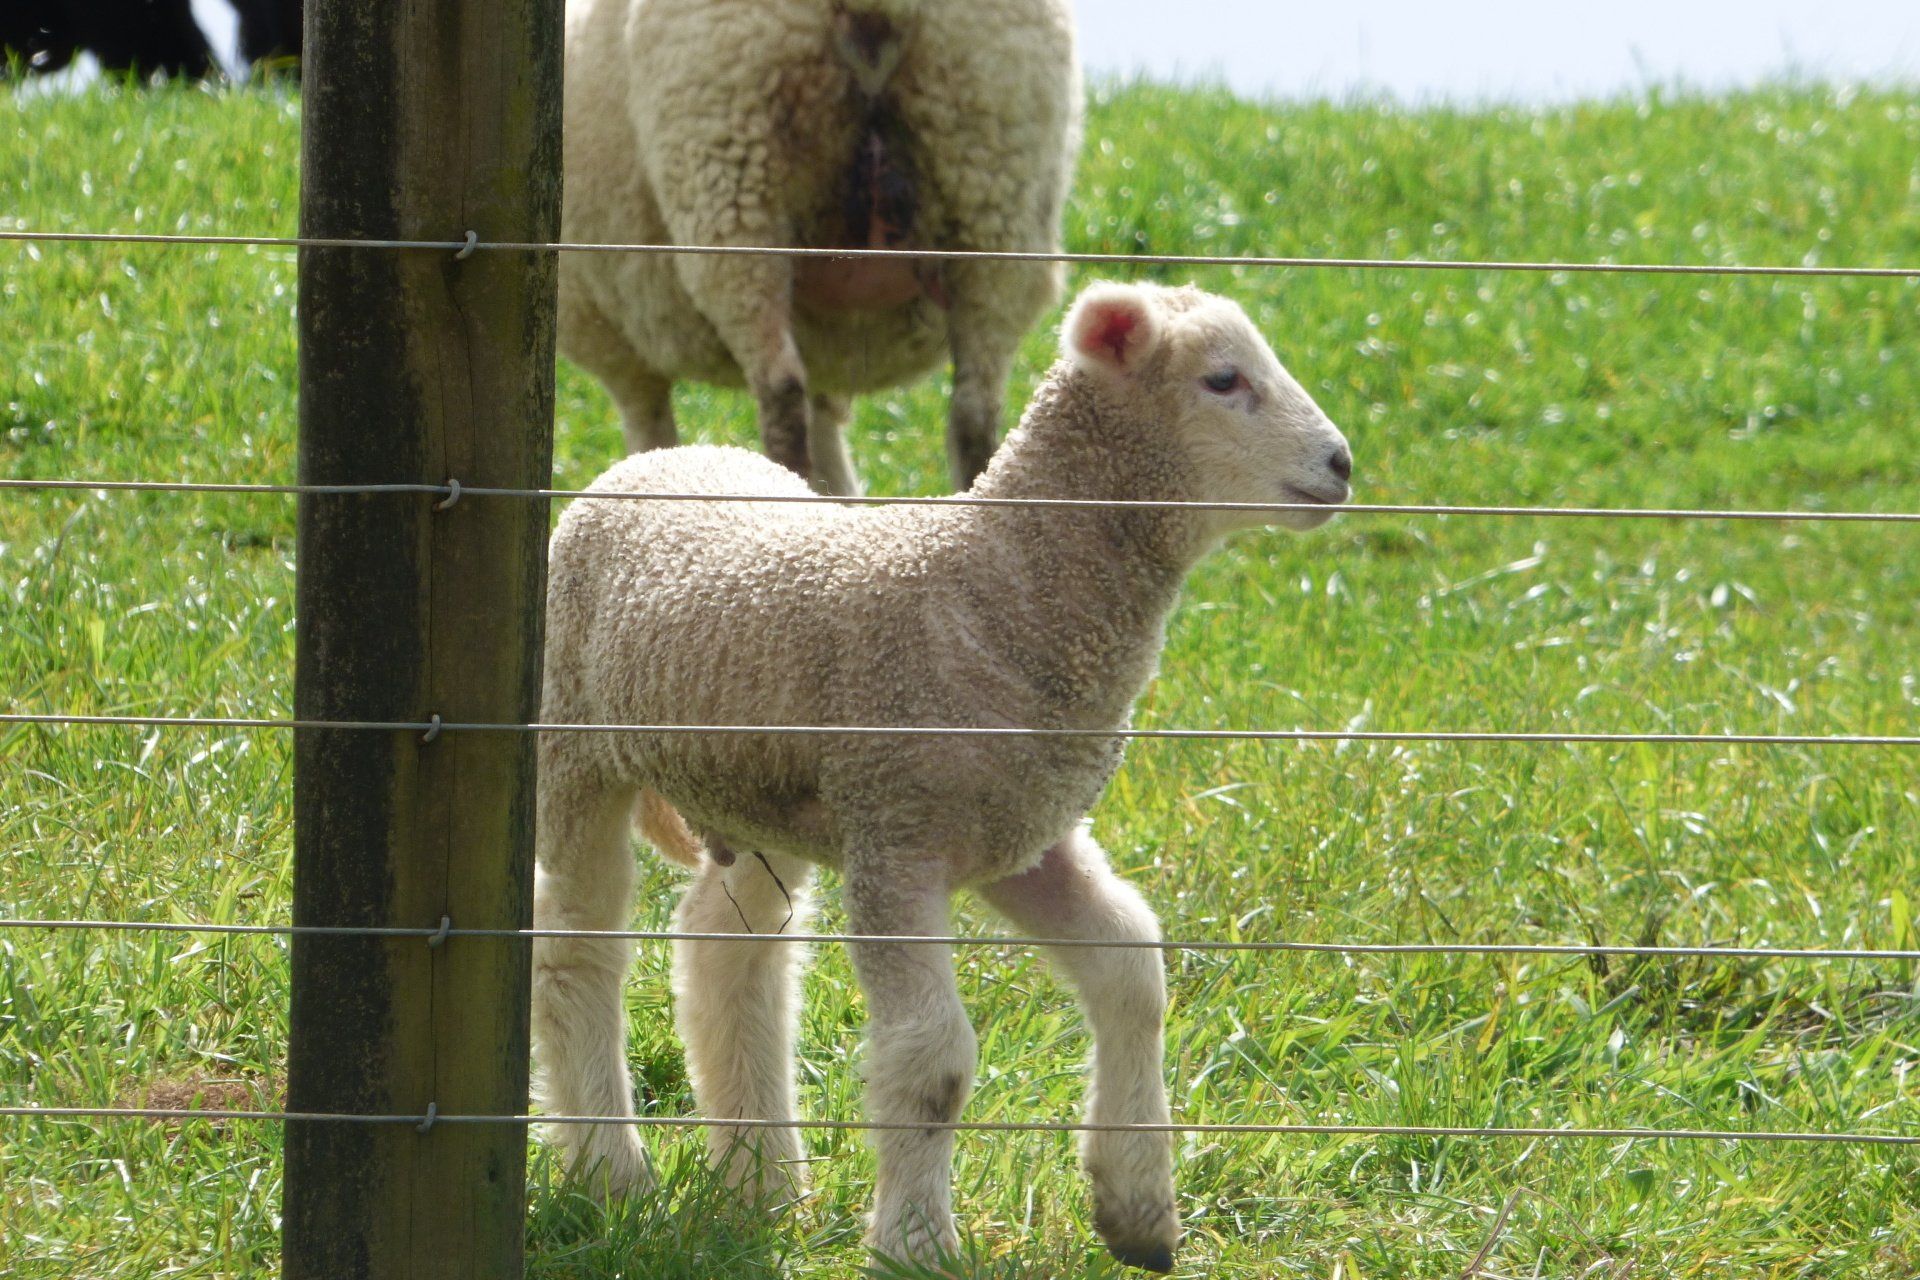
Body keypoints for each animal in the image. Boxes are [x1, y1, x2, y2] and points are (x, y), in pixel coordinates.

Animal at [531, 280, 1355, 1271]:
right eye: (1223, 380)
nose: (1343, 464)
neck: (998, 592)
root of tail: (659, 457)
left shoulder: (1021, 831)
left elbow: (1132, 971)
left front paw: (1138, 1208)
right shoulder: (901, 834)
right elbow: (933, 1060)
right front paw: (915, 1243)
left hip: (764, 792)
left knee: (728, 947)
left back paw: (760, 1183)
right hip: (576, 743)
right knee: (575, 950)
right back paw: (612, 1174)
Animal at [559, 0, 1082, 495]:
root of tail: (884, 7)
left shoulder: (615, 348)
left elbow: (650, 444)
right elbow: (832, 457)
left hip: (732, 180)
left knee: (782, 393)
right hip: (996, 192)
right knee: (974, 412)